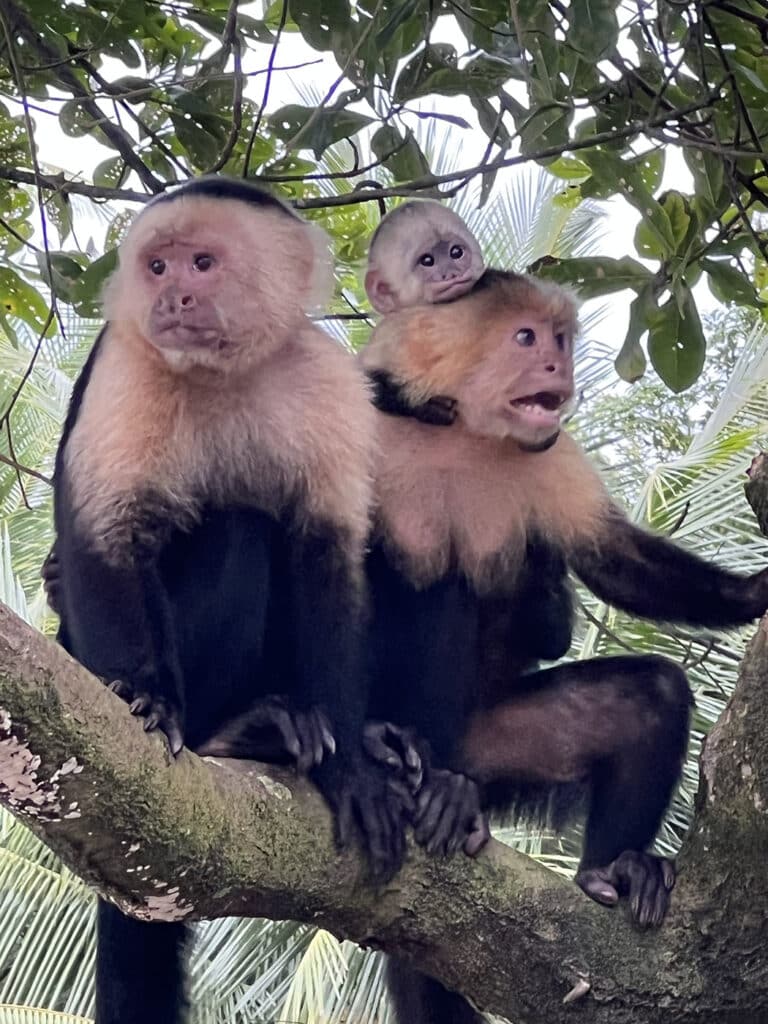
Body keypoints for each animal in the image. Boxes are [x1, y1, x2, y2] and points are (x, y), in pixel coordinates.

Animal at [50, 177, 407, 1024]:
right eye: (157, 266)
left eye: (203, 264)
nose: (172, 295)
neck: (224, 371)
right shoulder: (127, 359)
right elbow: (106, 537)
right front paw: (145, 697)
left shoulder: (327, 381)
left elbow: (328, 559)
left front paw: (352, 770)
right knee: (238, 530)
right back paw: (228, 729)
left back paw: (284, 729)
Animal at [356, 269, 768, 1022]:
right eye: (527, 339)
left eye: (561, 340)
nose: (560, 367)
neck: (466, 435)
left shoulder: (551, 455)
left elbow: (613, 562)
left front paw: (755, 592)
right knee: (432, 572)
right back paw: (398, 750)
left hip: (497, 748)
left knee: (649, 696)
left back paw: (612, 871)